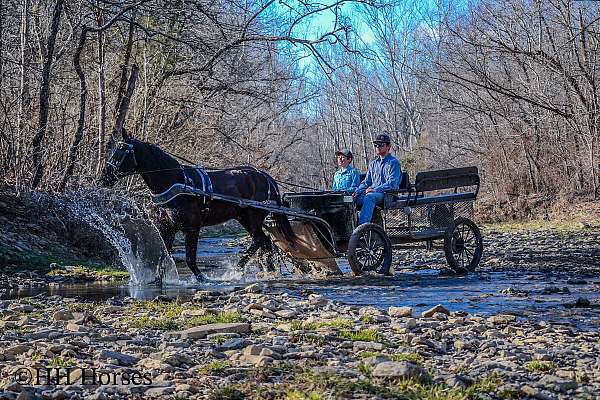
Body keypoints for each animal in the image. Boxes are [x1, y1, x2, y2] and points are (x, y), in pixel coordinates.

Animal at [98, 130, 296, 282]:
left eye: (120, 152)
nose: (104, 178)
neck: (176, 182)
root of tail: (264, 176)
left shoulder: (192, 227)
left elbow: (189, 258)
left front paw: (201, 278)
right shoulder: (167, 227)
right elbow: (164, 255)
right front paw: (158, 280)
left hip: (253, 217)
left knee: (260, 241)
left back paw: (238, 269)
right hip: (244, 218)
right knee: (264, 242)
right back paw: (267, 270)